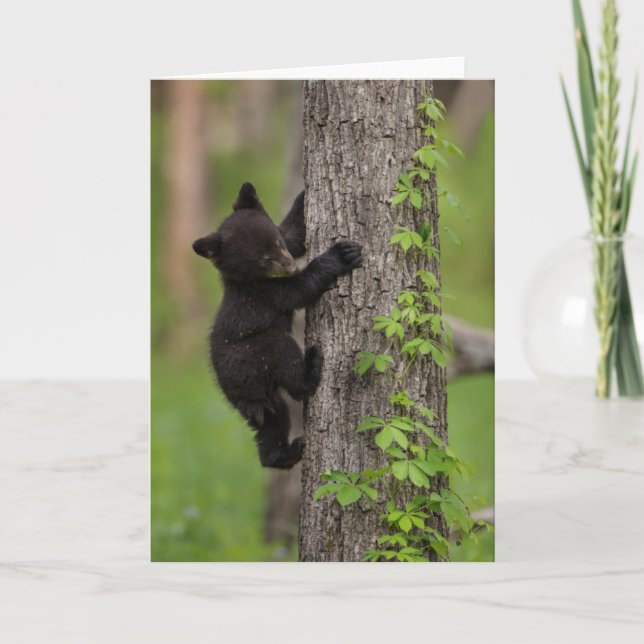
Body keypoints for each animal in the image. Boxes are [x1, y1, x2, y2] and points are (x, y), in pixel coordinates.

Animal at [193, 182, 362, 469]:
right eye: (263, 259)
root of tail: (236, 390)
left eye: (276, 242)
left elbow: (294, 233)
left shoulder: (285, 246)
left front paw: (304, 197)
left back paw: (283, 454)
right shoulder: (265, 292)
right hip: (257, 352)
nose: (291, 266)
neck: (250, 279)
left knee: (273, 420)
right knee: (287, 366)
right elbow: (301, 288)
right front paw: (340, 254)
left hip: (260, 398)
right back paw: (311, 367)